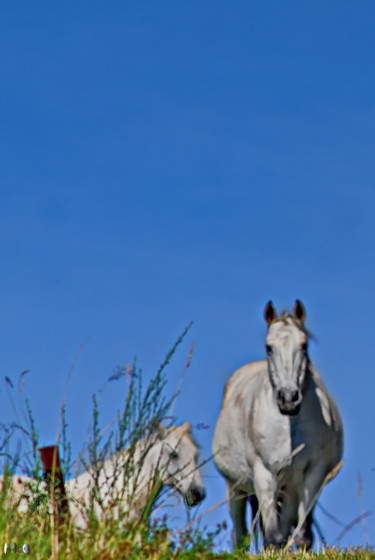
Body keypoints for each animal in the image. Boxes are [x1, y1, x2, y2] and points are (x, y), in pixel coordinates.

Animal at [212, 300, 344, 548]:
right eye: (269, 347)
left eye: (304, 345)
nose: (288, 398)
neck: (290, 427)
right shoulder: (263, 474)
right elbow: (272, 538)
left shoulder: (313, 474)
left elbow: (302, 535)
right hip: (235, 487)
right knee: (241, 534)